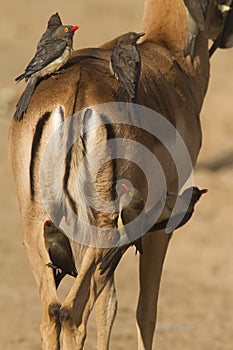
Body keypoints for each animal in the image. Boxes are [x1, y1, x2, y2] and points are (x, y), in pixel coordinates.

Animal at [7, 0, 231, 350]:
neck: (169, 56)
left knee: (51, 312)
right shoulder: (160, 224)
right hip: (100, 227)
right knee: (72, 313)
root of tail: (74, 97)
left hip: (38, 223)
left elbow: (108, 304)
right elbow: (146, 309)